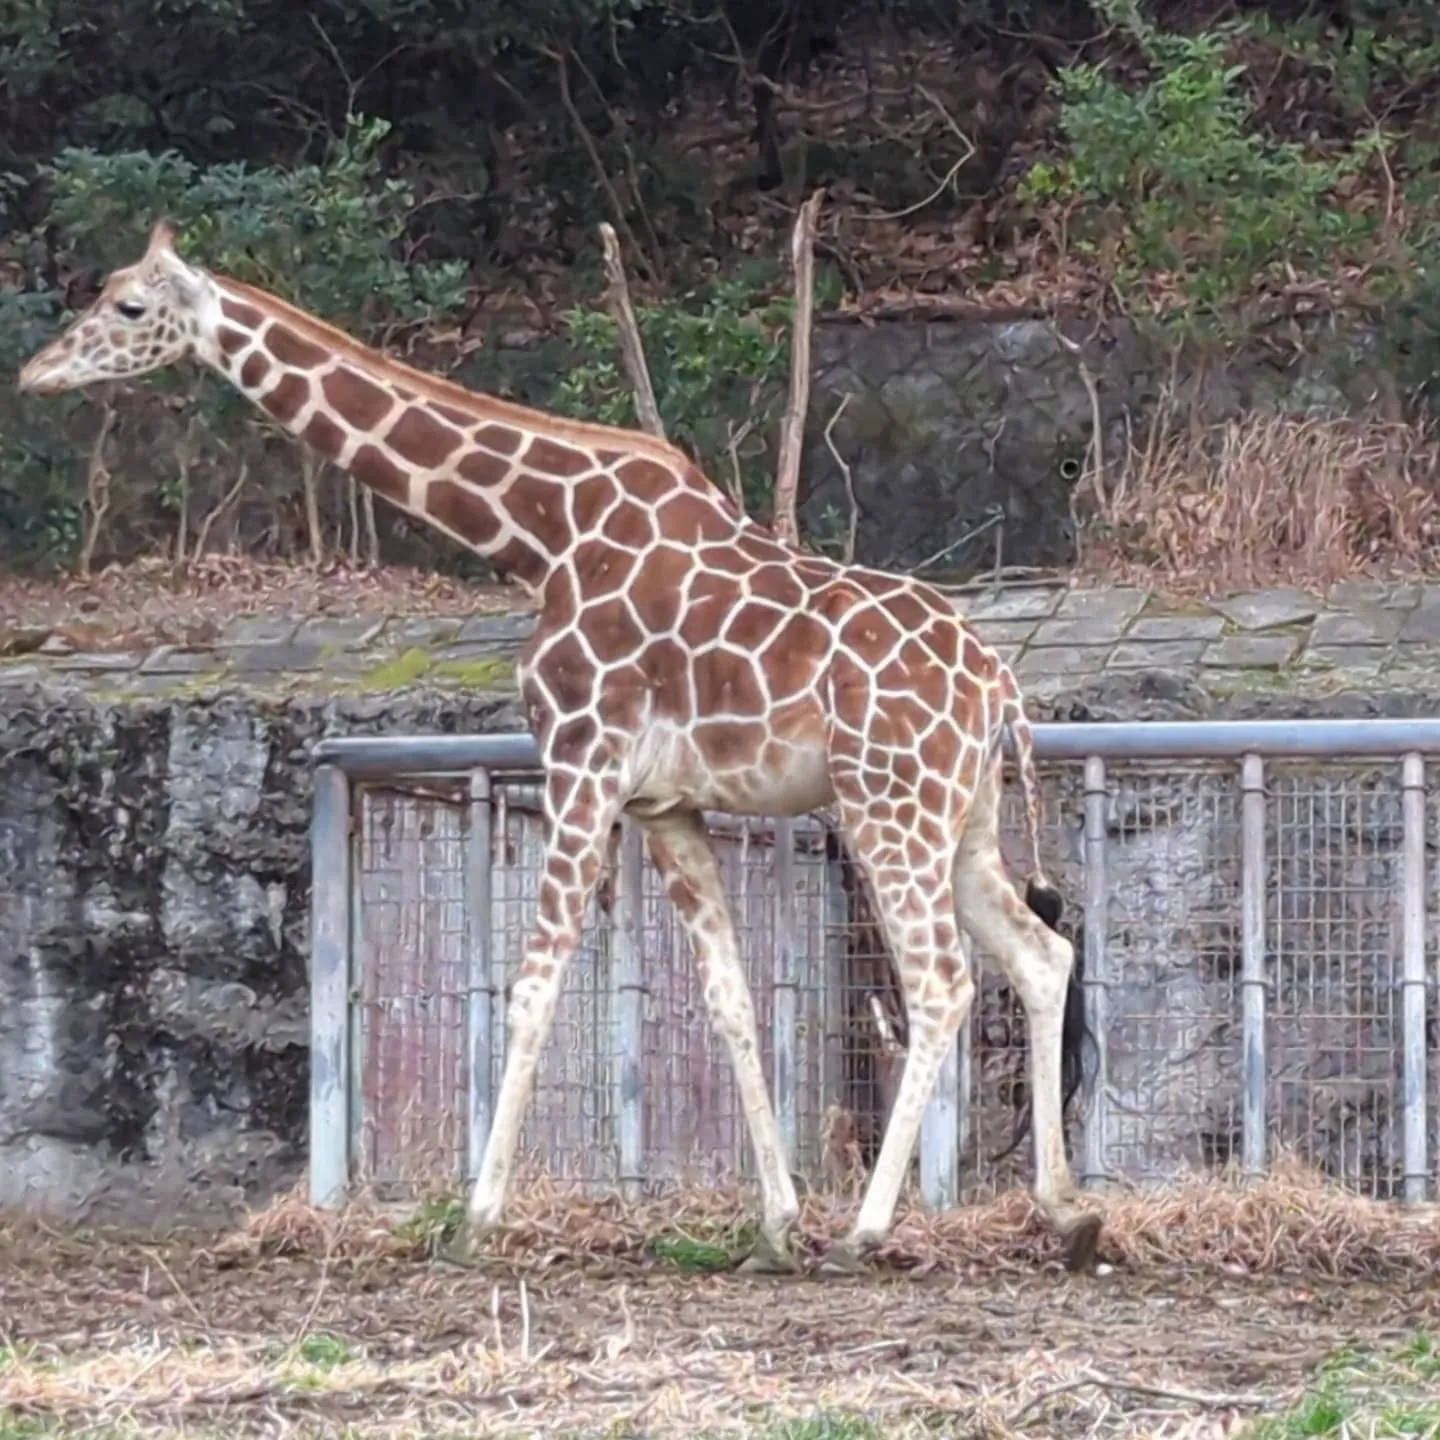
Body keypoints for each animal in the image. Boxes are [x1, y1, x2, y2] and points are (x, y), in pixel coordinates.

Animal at [19, 218, 1100, 1278]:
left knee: (943, 980)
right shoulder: (666, 805)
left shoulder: (582, 760)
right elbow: (729, 1001)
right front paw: (775, 1225)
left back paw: (871, 1232)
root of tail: (997, 686)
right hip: (958, 817)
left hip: (887, 802)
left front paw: (475, 1221)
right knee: (1040, 952)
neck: (542, 533)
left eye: (130, 305)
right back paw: (1064, 1213)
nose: (36, 375)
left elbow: (533, 985)